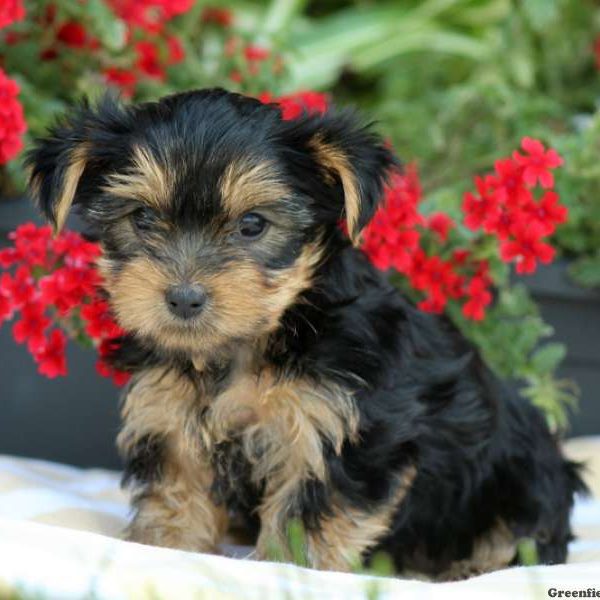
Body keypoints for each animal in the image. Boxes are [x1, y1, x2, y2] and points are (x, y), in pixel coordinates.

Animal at [25, 90, 584, 580]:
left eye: (253, 224)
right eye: (141, 217)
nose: (183, 298)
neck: (257, 337)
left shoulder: (344, 428)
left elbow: (311, 510)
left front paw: (288, 568)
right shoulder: (169, 412)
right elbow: (175, 485)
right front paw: (165, 545)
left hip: (523, 477)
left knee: (525, 535)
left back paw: (473, 567)